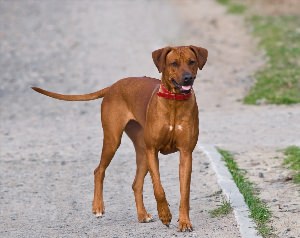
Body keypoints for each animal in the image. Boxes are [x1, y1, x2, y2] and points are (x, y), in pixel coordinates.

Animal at [31, 45, 207, 231]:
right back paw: (98, 207)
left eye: (191, 62)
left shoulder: (186, 153)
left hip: (142, 152)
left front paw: (184, 222)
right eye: (174, 63)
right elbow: (158, 189)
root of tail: (113, 86)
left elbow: (184, 193)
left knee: (136, 184)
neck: (174, 102)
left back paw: (142, 215)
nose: (188, 78)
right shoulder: (152, 150)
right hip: (113, 140)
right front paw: (165, 214)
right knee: (99, 170)